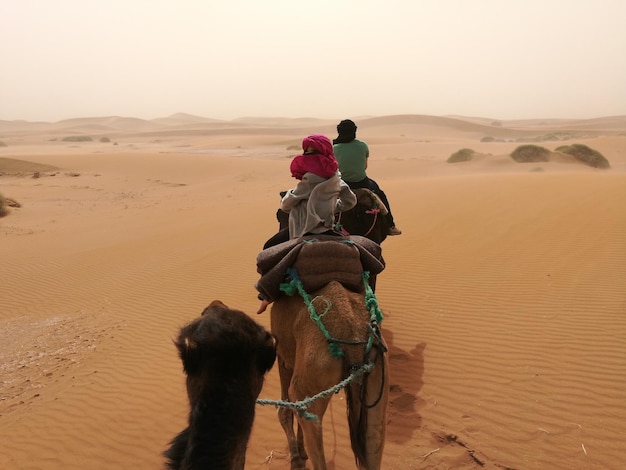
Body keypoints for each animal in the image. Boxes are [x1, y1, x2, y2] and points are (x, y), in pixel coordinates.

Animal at [270, 280, 388, 468]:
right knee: (374, 439)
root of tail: (352, 331)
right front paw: (301, 452)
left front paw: (296, 458)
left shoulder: (283, 356)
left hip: (310, 376)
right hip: (378, 375)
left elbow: (285, 411)